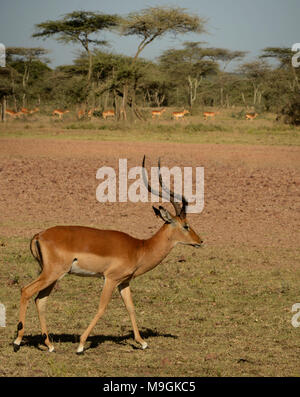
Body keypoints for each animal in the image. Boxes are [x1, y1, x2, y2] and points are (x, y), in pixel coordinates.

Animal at [12, 156, 203, 354]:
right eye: (186, 225)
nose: (200, 241)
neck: (139, 248)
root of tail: (39, 235)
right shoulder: (110, 279)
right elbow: (102, 308)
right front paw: (81, 345)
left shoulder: (124, 282)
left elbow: (131, 307)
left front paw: (142, 342)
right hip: (52, 273)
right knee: (26, 291)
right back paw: (17, 342)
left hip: (53, 275)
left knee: (40, 299)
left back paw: (49, 345)